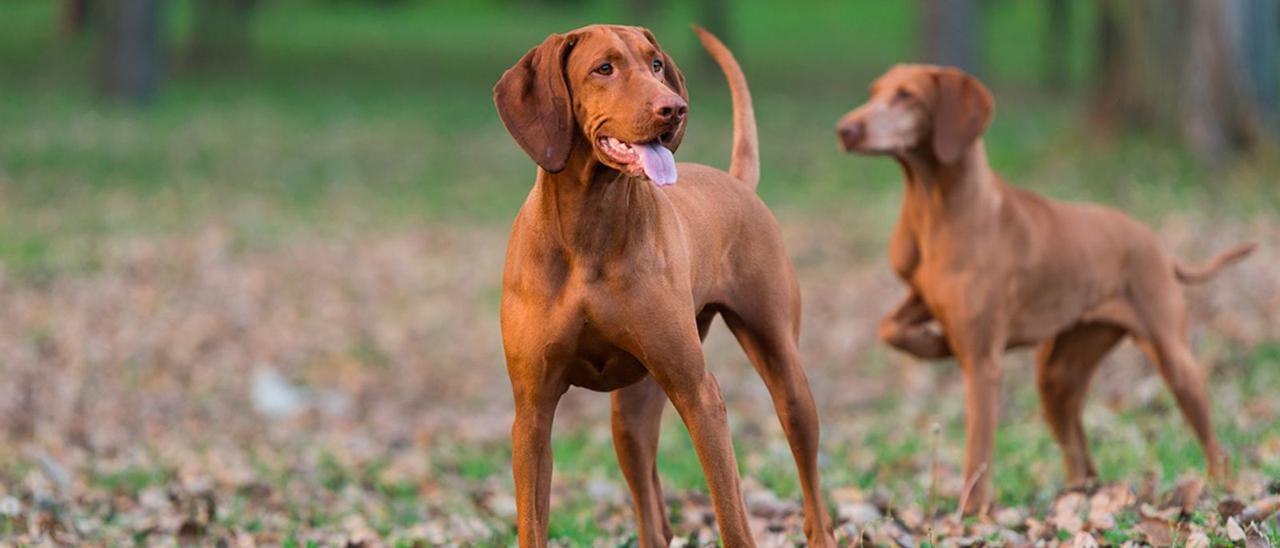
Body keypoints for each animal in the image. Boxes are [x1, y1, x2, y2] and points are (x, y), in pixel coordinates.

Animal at [491, 23, 839, 545]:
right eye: (604, 68)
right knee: (653, 515)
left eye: (655, 64)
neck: (589, 231)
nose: (674, 108)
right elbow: (532, 524)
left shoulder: (699, 394)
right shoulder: (532, 411)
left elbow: (732, 517)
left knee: (809, 481)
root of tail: (738, 182)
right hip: (630, 416)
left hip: (785, 375)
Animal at [834, 63, 1254, 514]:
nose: (845, 129)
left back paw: (1219, 491)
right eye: (875, 92)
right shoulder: (922, 297)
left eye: (907, 96)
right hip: (1059, 374)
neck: (934, 207)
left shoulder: (983, 363)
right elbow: (889, 328)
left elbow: (977, 450)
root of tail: (1157, 245)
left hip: (1174, 360)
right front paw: (935, 344)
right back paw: (1078, 495)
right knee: (1081, 456)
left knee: (1215, 446)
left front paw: (972, 514)